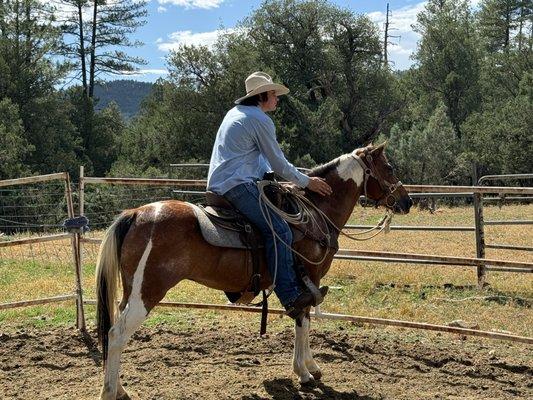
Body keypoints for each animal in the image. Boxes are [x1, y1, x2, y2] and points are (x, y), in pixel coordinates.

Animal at [94, 142, 412, 398]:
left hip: (131, 292)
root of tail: (135, 214)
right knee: (117, 334)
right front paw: (304, 372)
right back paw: (110, 392)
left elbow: (304, 319)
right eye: (389, 167)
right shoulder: (307, 277)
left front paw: (309, 367)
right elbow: (303, 319)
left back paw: (120, 388)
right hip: (146, 293)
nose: (407, 201)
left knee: (114, 334)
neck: (316, 212)